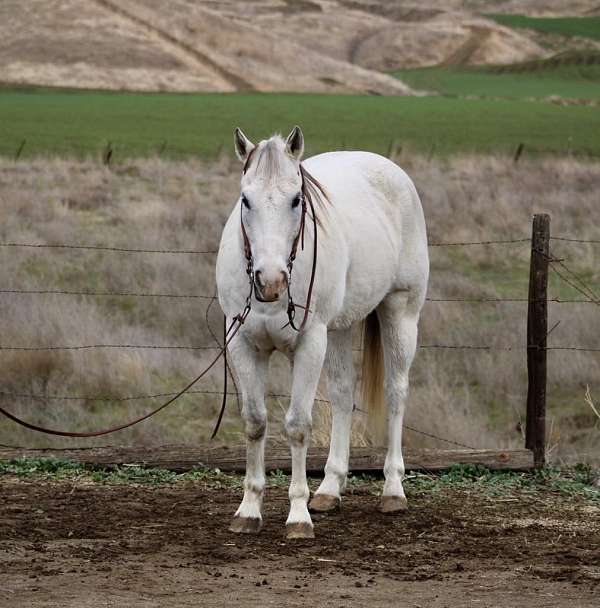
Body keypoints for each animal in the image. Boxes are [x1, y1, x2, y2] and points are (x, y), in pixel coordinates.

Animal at [216, 126, 426, 540]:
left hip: (400, 314)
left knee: (396, 394)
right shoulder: (243, 346)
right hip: (340, 329)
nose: (270, 280)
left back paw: (393, 490)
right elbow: (254, 422)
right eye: (245, 199)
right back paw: (330, 488)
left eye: (296, 200)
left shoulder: (310, 344)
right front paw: (248, 510)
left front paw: (298, 516)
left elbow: (298, 426)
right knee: (344, 395)